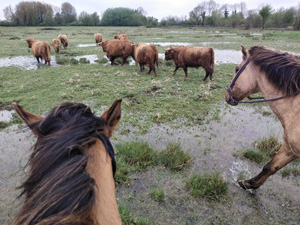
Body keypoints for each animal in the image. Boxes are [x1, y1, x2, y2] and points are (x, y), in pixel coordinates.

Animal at [225, 45, 300, 190]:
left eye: (237, 69)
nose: (226, 95)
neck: (295, 107)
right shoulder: (290, 147)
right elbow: (270, 167)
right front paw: (250, 183)